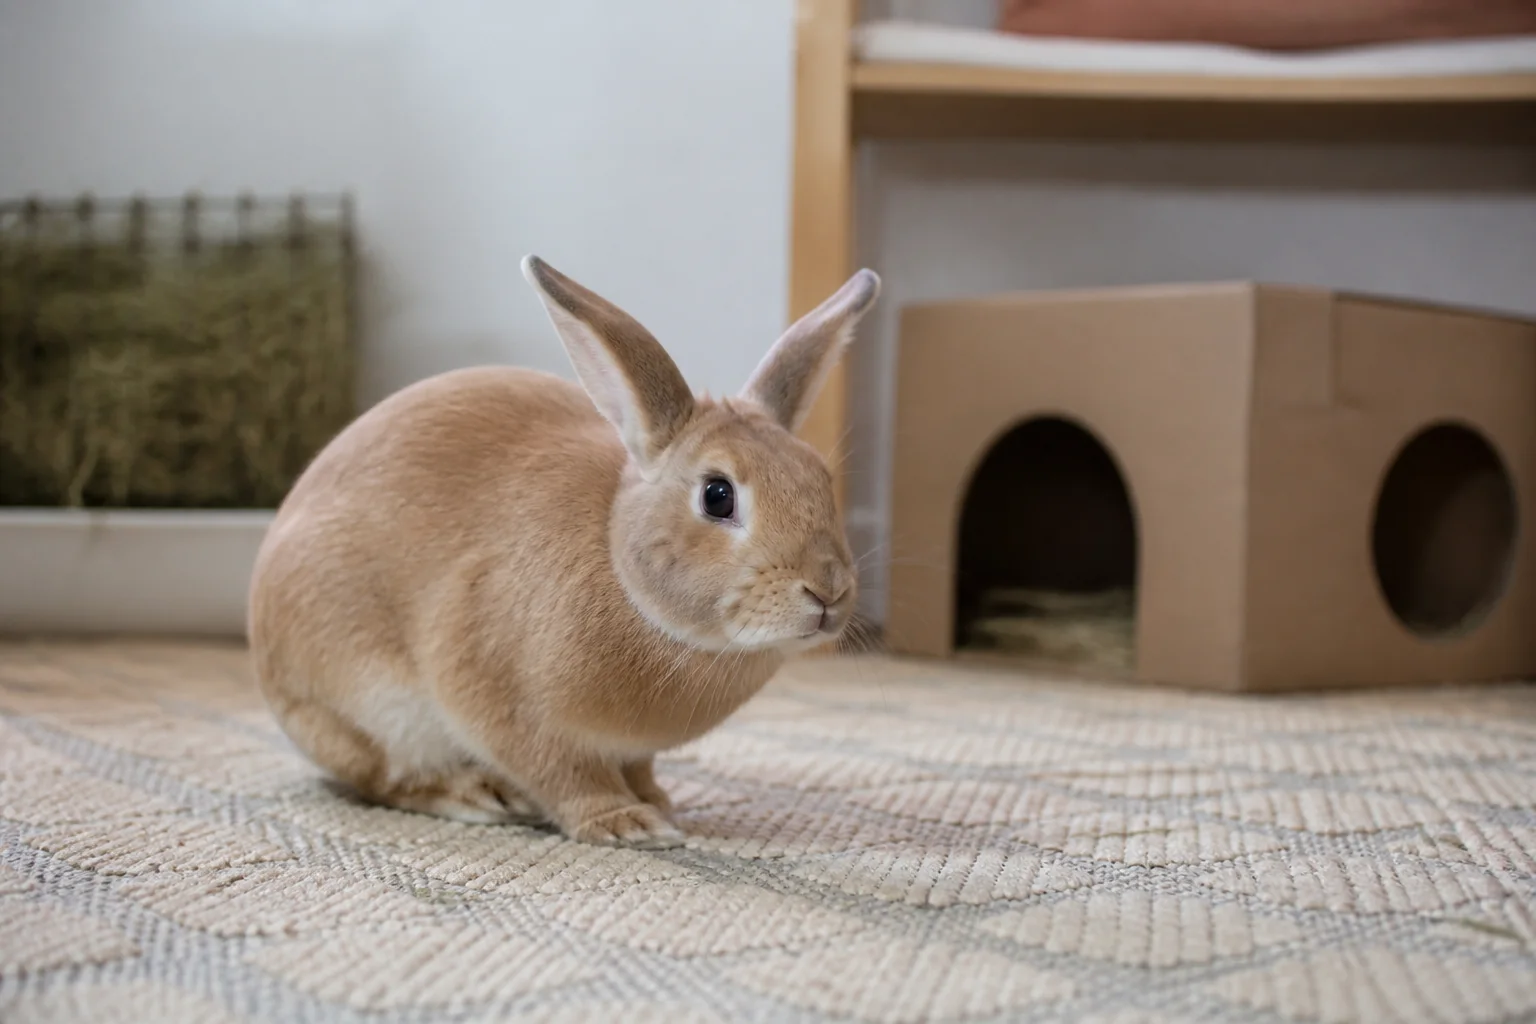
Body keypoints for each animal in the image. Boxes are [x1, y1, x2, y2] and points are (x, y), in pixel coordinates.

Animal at [248, 255, 880, 848]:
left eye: (821, 479)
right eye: (717, 495)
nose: (828, 590)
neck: (621, 565)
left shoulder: (634, 747)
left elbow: (637, 767)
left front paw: (659, 802)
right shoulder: (510, 706)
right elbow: (564, 775)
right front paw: (627, 823)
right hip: (371, 709)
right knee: (384, 780)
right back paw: (477, 796)